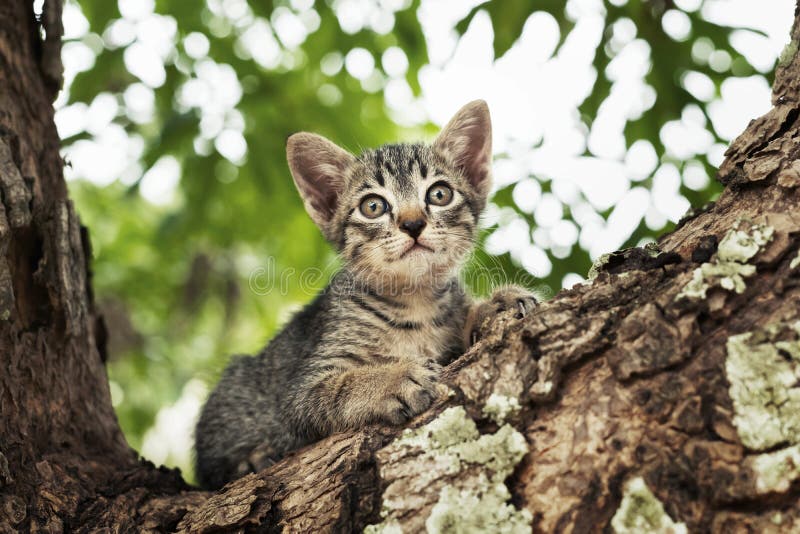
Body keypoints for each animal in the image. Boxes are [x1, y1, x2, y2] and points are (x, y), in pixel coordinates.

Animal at [195, 100, 536, 490]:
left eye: (439, 194)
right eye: (373, 206)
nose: (413, 223)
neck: (414, 302)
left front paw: (495, 303)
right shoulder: (302, 390)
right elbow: (334, 389)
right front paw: (391, 380)